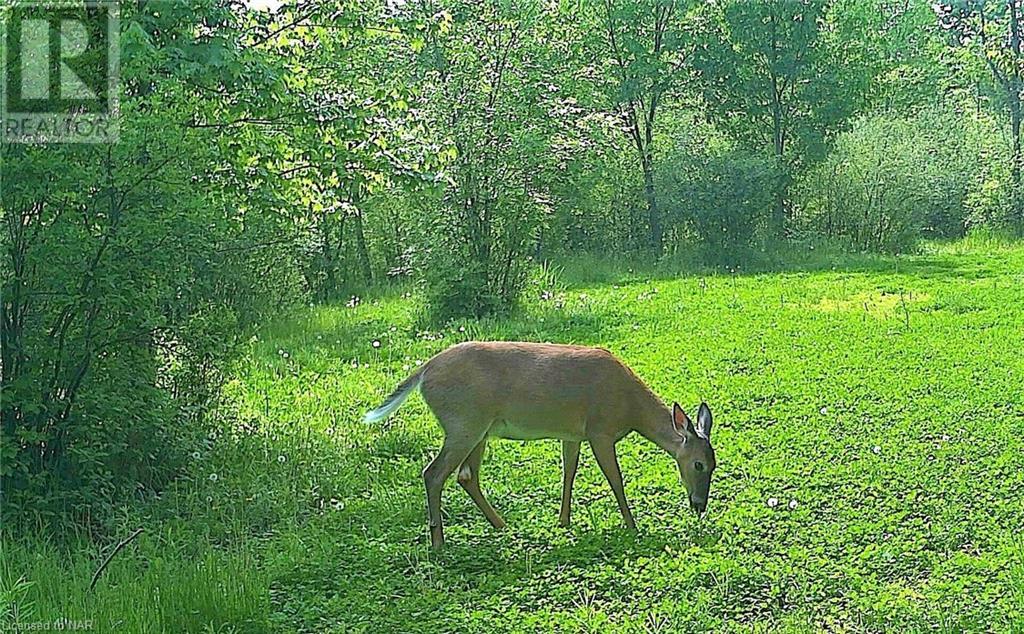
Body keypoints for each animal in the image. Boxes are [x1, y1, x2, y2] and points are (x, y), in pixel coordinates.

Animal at [364, 342, 716, 548]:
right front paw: (632, 525)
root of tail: (424, 372)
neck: (629, 407)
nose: (699, 505)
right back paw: (438, 543)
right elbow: (615, 479)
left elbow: (569, 473)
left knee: (465, 475)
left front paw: (563, 521)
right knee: (434, 473)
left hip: (479, 429)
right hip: (464, 422)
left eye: (714, 465)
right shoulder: (599, 430)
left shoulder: (572, 434)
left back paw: (503, 526)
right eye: (698, 464)